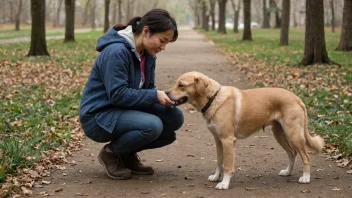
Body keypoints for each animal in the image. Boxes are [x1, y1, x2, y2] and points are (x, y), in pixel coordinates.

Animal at [166, 71, 326, 190]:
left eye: (181, 85)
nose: (166, 93)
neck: (213, 98)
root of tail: (297, 98)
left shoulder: (228, 140)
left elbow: (228, 165)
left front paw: (224, 183)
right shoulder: (218, 140)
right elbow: (219, 162)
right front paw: (217, 177)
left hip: (293, 135)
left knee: (305, 157)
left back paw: (306, 177)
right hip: (279, 134)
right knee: (292, 153)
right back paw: (287, 172)